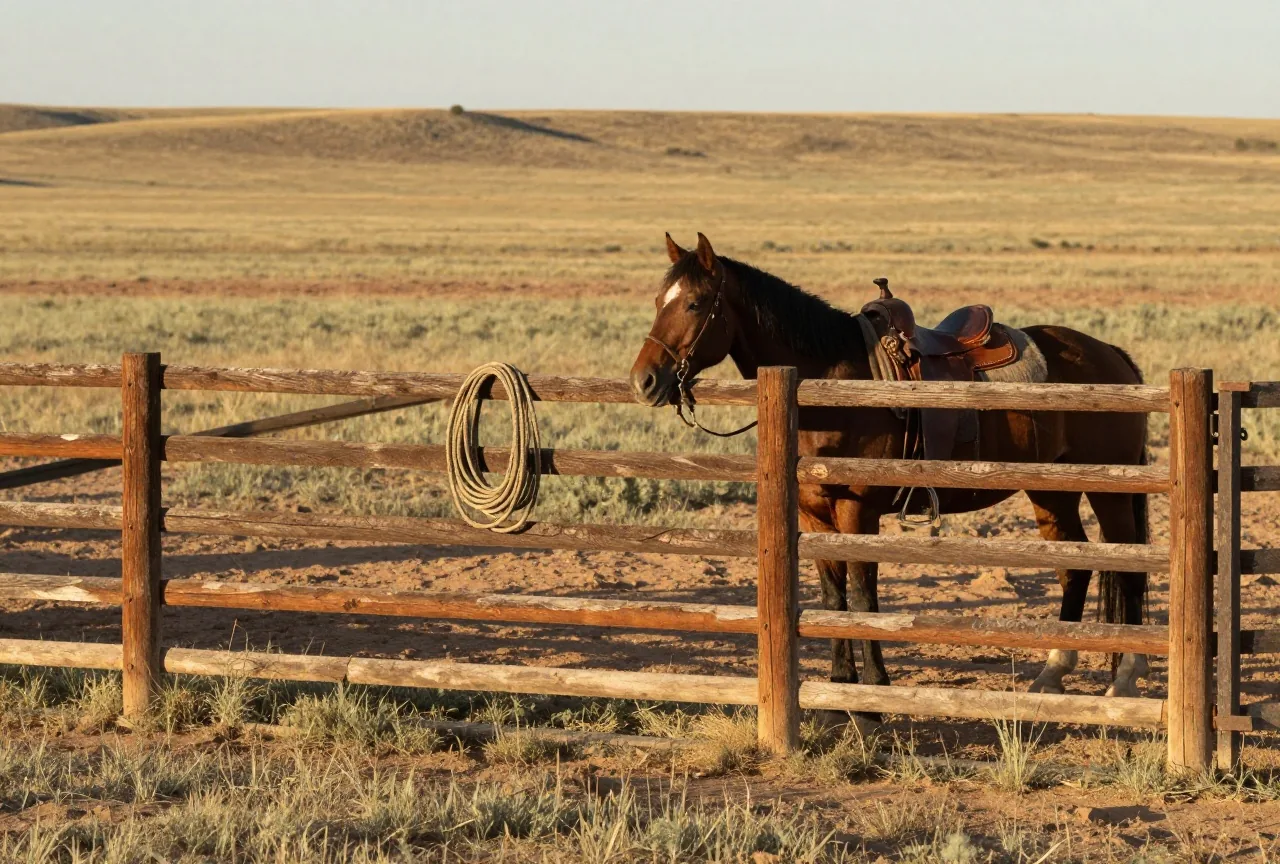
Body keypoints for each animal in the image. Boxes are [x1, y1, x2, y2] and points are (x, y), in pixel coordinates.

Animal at [629, 232, 1150, 710]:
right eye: (657, 301)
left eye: (694, 303)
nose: (644, 381)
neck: (827, 380)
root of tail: (1112, 354)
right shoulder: (814, 515)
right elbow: (832, 598)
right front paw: (840, 685)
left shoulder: (857, 511)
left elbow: (862, 598)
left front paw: (874, 693)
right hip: (1052, 489)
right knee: (1075, 564)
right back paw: (1052, 673)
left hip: (1108, 490)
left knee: (1128, 567)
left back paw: (1124, 678)